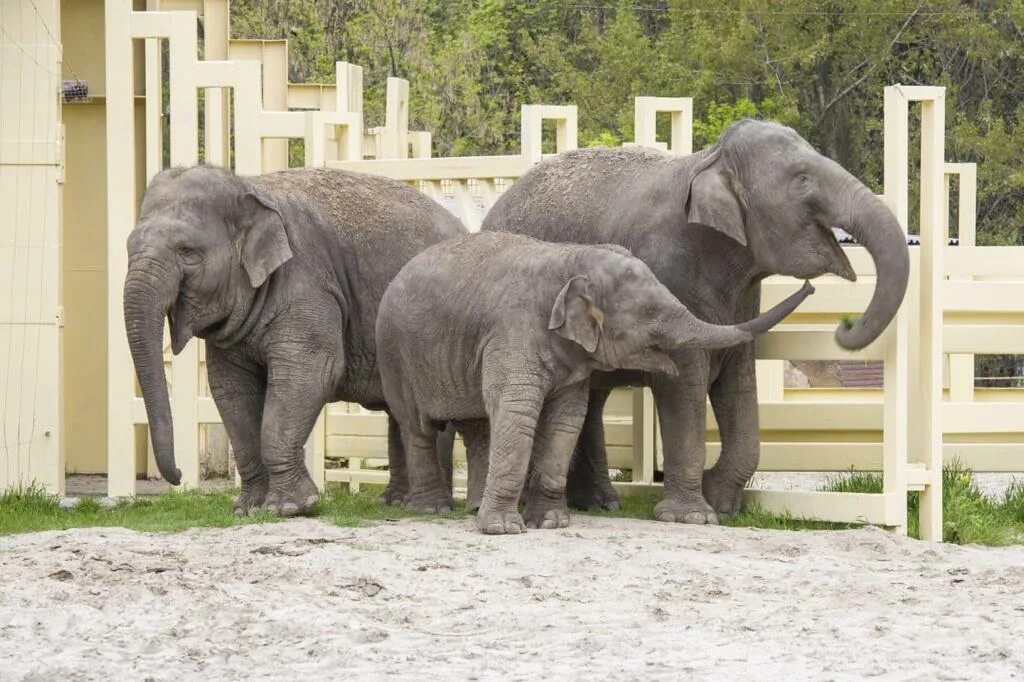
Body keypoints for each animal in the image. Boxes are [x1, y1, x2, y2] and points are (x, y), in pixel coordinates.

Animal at [120, 165, 468, 516]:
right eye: (128, 247)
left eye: (188, 252)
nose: (178, 476)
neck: (248, 186)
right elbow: (231, 388)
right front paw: (247, 509)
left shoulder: (307, 284)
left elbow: (309, 373)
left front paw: (289, 507)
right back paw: (394, 502)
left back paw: (432, 508)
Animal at [376, 231, 815, 532]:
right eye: (650, 312)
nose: (810, 285)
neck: (570, 256)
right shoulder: (512, 332)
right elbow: (518, 414)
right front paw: (502, 529)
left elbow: (566, 419)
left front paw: (550, 523)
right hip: (395, 357)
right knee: (417, 427)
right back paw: (431, 509)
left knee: (477, 427)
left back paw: (470, 508)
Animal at [479, 116, 913, 522]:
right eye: (802, 178)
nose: (843, 326)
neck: (710, 160)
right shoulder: (666, 272)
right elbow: (683, 383)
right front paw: (693, 516)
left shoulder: (743, 298)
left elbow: (740, 381)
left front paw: (721, 504)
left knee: (593, 396)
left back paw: (601, 503)